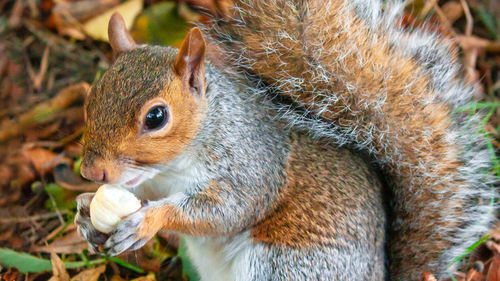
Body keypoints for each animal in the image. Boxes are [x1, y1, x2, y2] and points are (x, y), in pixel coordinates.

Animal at [73, 0, 496, 278]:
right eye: (91, 100)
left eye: (156, 117)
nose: (92, 172)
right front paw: (86, 213)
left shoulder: (251, 161)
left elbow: (227, 210)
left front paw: (146, 221)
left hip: (286, 265)